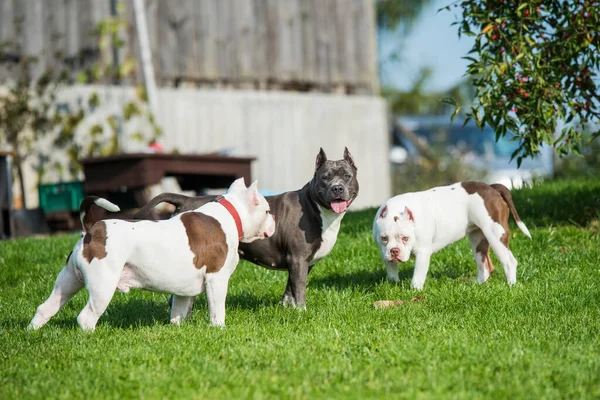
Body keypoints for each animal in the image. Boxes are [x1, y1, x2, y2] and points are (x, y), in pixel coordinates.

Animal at [29, 179, 276, 332]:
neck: (229, 215)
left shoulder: (183, 289)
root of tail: (92, 229)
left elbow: (178, 310)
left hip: (68, 281)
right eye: (267, 210)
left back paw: (32, 332)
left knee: (45, 308)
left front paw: (176, 328)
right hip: (102, 286)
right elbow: (217, 310)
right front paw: (219, 329)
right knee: (86, 317)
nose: (273, 220)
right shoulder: (217, 280)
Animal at [131, 148, 358, 308]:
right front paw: (302, 311)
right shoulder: (298, 259)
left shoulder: (302, 263)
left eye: (347, 176)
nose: (337, 188)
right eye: (325, 177)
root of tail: (185, 200)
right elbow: (299, 288)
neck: (315, 207)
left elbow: (290, 288)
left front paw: (287, 307)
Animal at [372, 182, 532, 290]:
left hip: (495, 235)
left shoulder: (423, 254)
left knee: (509, 262)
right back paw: (477, 286)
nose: (395, 251)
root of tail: (492, 187)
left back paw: (511, 285)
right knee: (485, 265)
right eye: (384, 238)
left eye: (406, 238)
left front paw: (414, 291)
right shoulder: (384, 253)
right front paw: (394, 284)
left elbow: (417, 276)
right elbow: (392, 272)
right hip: (478, 240)